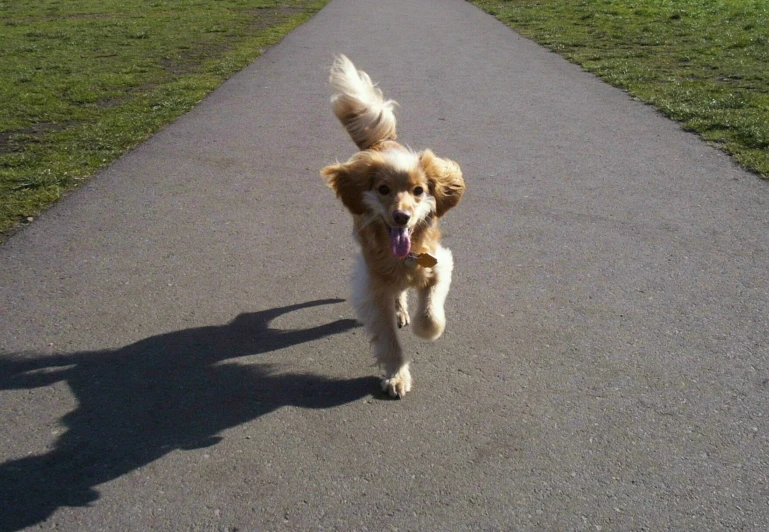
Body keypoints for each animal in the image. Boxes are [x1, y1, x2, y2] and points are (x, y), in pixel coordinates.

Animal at [318, 57, 462, 400]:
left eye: (419, 191)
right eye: (383, 190)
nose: (401, 217)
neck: (404, 259)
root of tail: (381, 144)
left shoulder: (440, 263)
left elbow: (431, 312)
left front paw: (425, 329)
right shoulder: (373, 287)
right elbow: (388, 339)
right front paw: (397, 376)